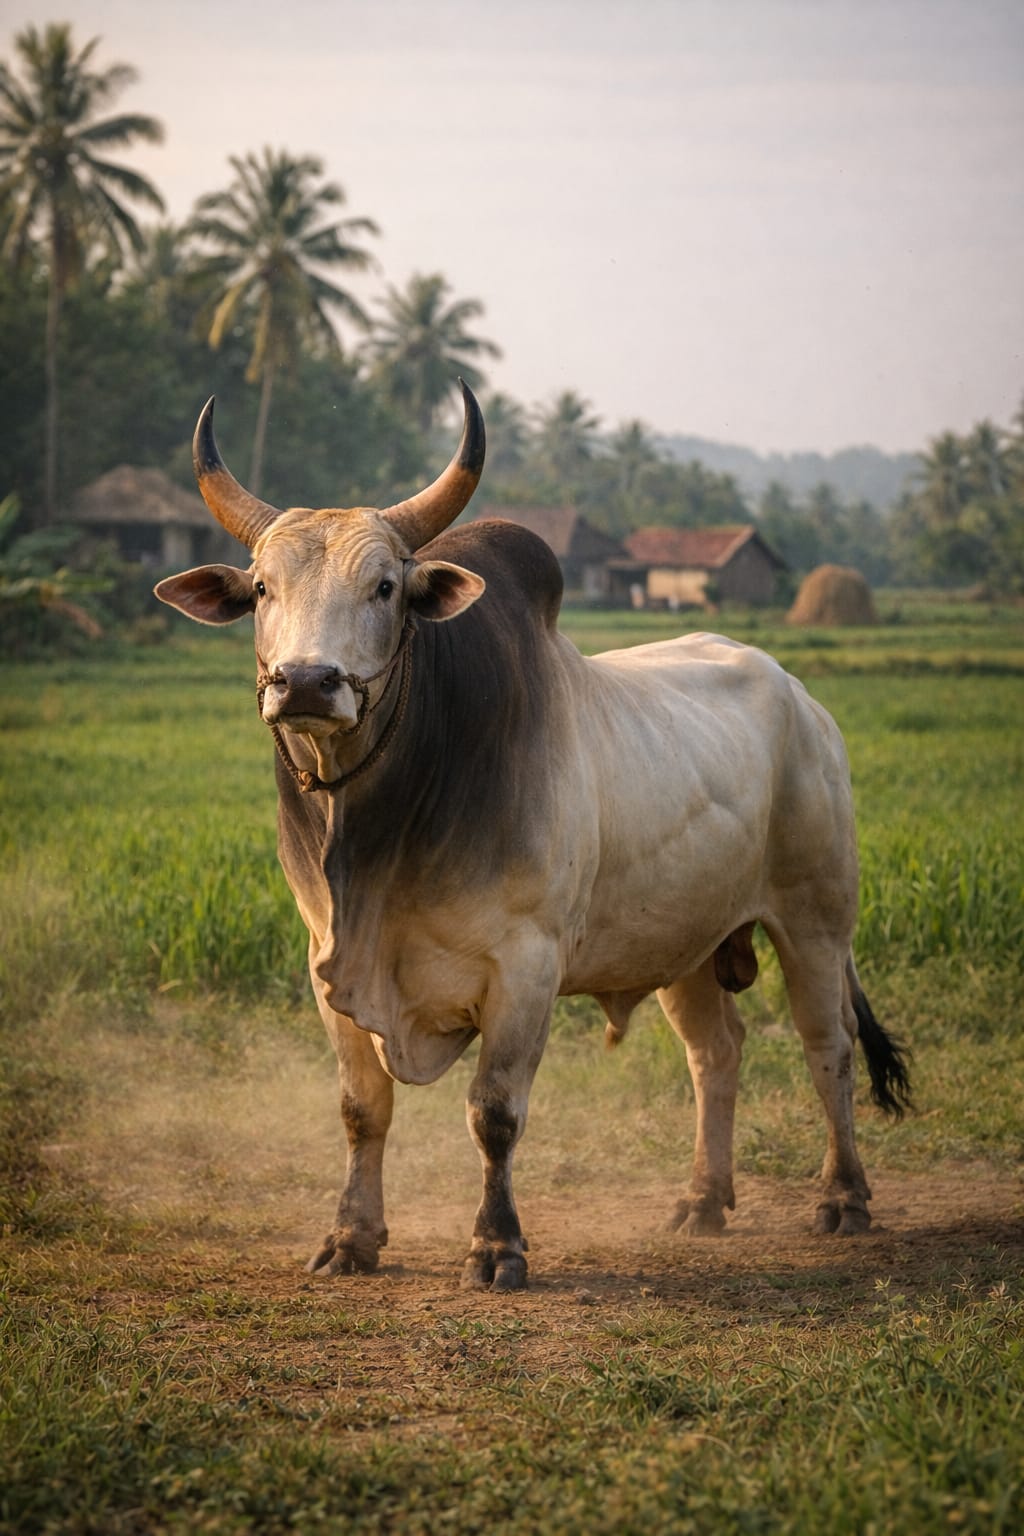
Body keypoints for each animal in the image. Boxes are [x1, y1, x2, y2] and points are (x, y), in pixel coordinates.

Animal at [155, 382, 910, 1291]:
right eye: (263, 587)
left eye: (385, 587)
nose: (305, 682)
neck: (381, 837)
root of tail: (801, 697)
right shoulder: (324, 961)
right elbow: (362, 1109)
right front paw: (351, 1239)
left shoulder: (526, 965)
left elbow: (495, 1113)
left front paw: (496, 1245)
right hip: (688, 944)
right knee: (715, 1054)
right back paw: (702, 1201)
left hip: (815, 920)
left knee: (827, 1046)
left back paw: (843, 1197)